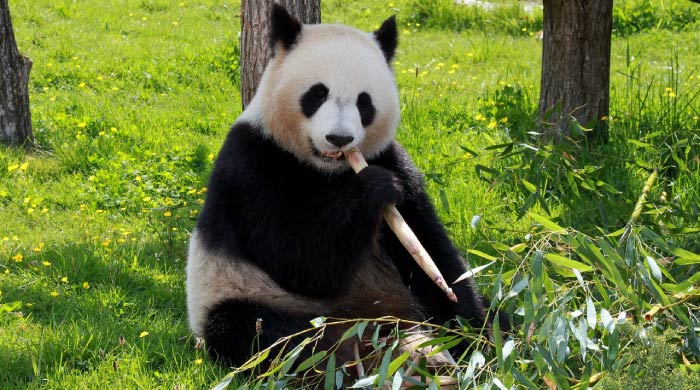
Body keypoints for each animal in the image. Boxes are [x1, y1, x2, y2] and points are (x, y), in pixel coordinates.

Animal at [183, 4, 494, 368]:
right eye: (317, 94)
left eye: (364, 102)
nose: (340, 138)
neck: (328, 170)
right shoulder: (252, 164)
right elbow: (299, 258)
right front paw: (375, 188)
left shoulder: (392, 159)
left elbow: (428, 248)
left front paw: (472, 332)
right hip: (244, 295)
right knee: (263, 334)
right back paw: (348, 359)